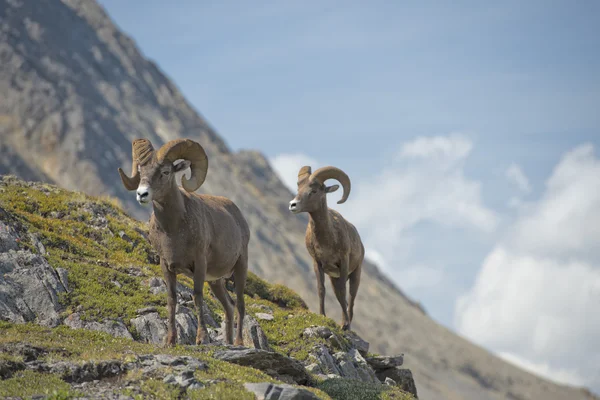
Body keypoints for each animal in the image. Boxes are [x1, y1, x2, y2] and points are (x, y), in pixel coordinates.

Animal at [118, 139, 250, 346]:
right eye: (141, 170)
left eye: (165, 172)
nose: (142, 194)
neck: (173, 229)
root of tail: (239, 217)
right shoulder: (166, 265)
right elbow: (172, 299)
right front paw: (170, 340)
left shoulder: (199, 264)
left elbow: (197, 297)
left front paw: (201, 339)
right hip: (216, 281)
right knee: (228, 306)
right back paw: (228, 342)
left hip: (240, 268)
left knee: (240, 305)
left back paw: (238, 343)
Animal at [288, 164, 364, 330]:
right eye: (299, 188)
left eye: (313, 191)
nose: (292, 205)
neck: (327, 239)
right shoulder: (318, 263)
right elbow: (321, 289)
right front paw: (322, 315)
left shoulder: (343, 262)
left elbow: (343, 291)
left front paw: (345, 324)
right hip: (333, 277)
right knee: (341, 297)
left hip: (355, 274)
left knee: (350, 298)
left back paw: (348, 323)